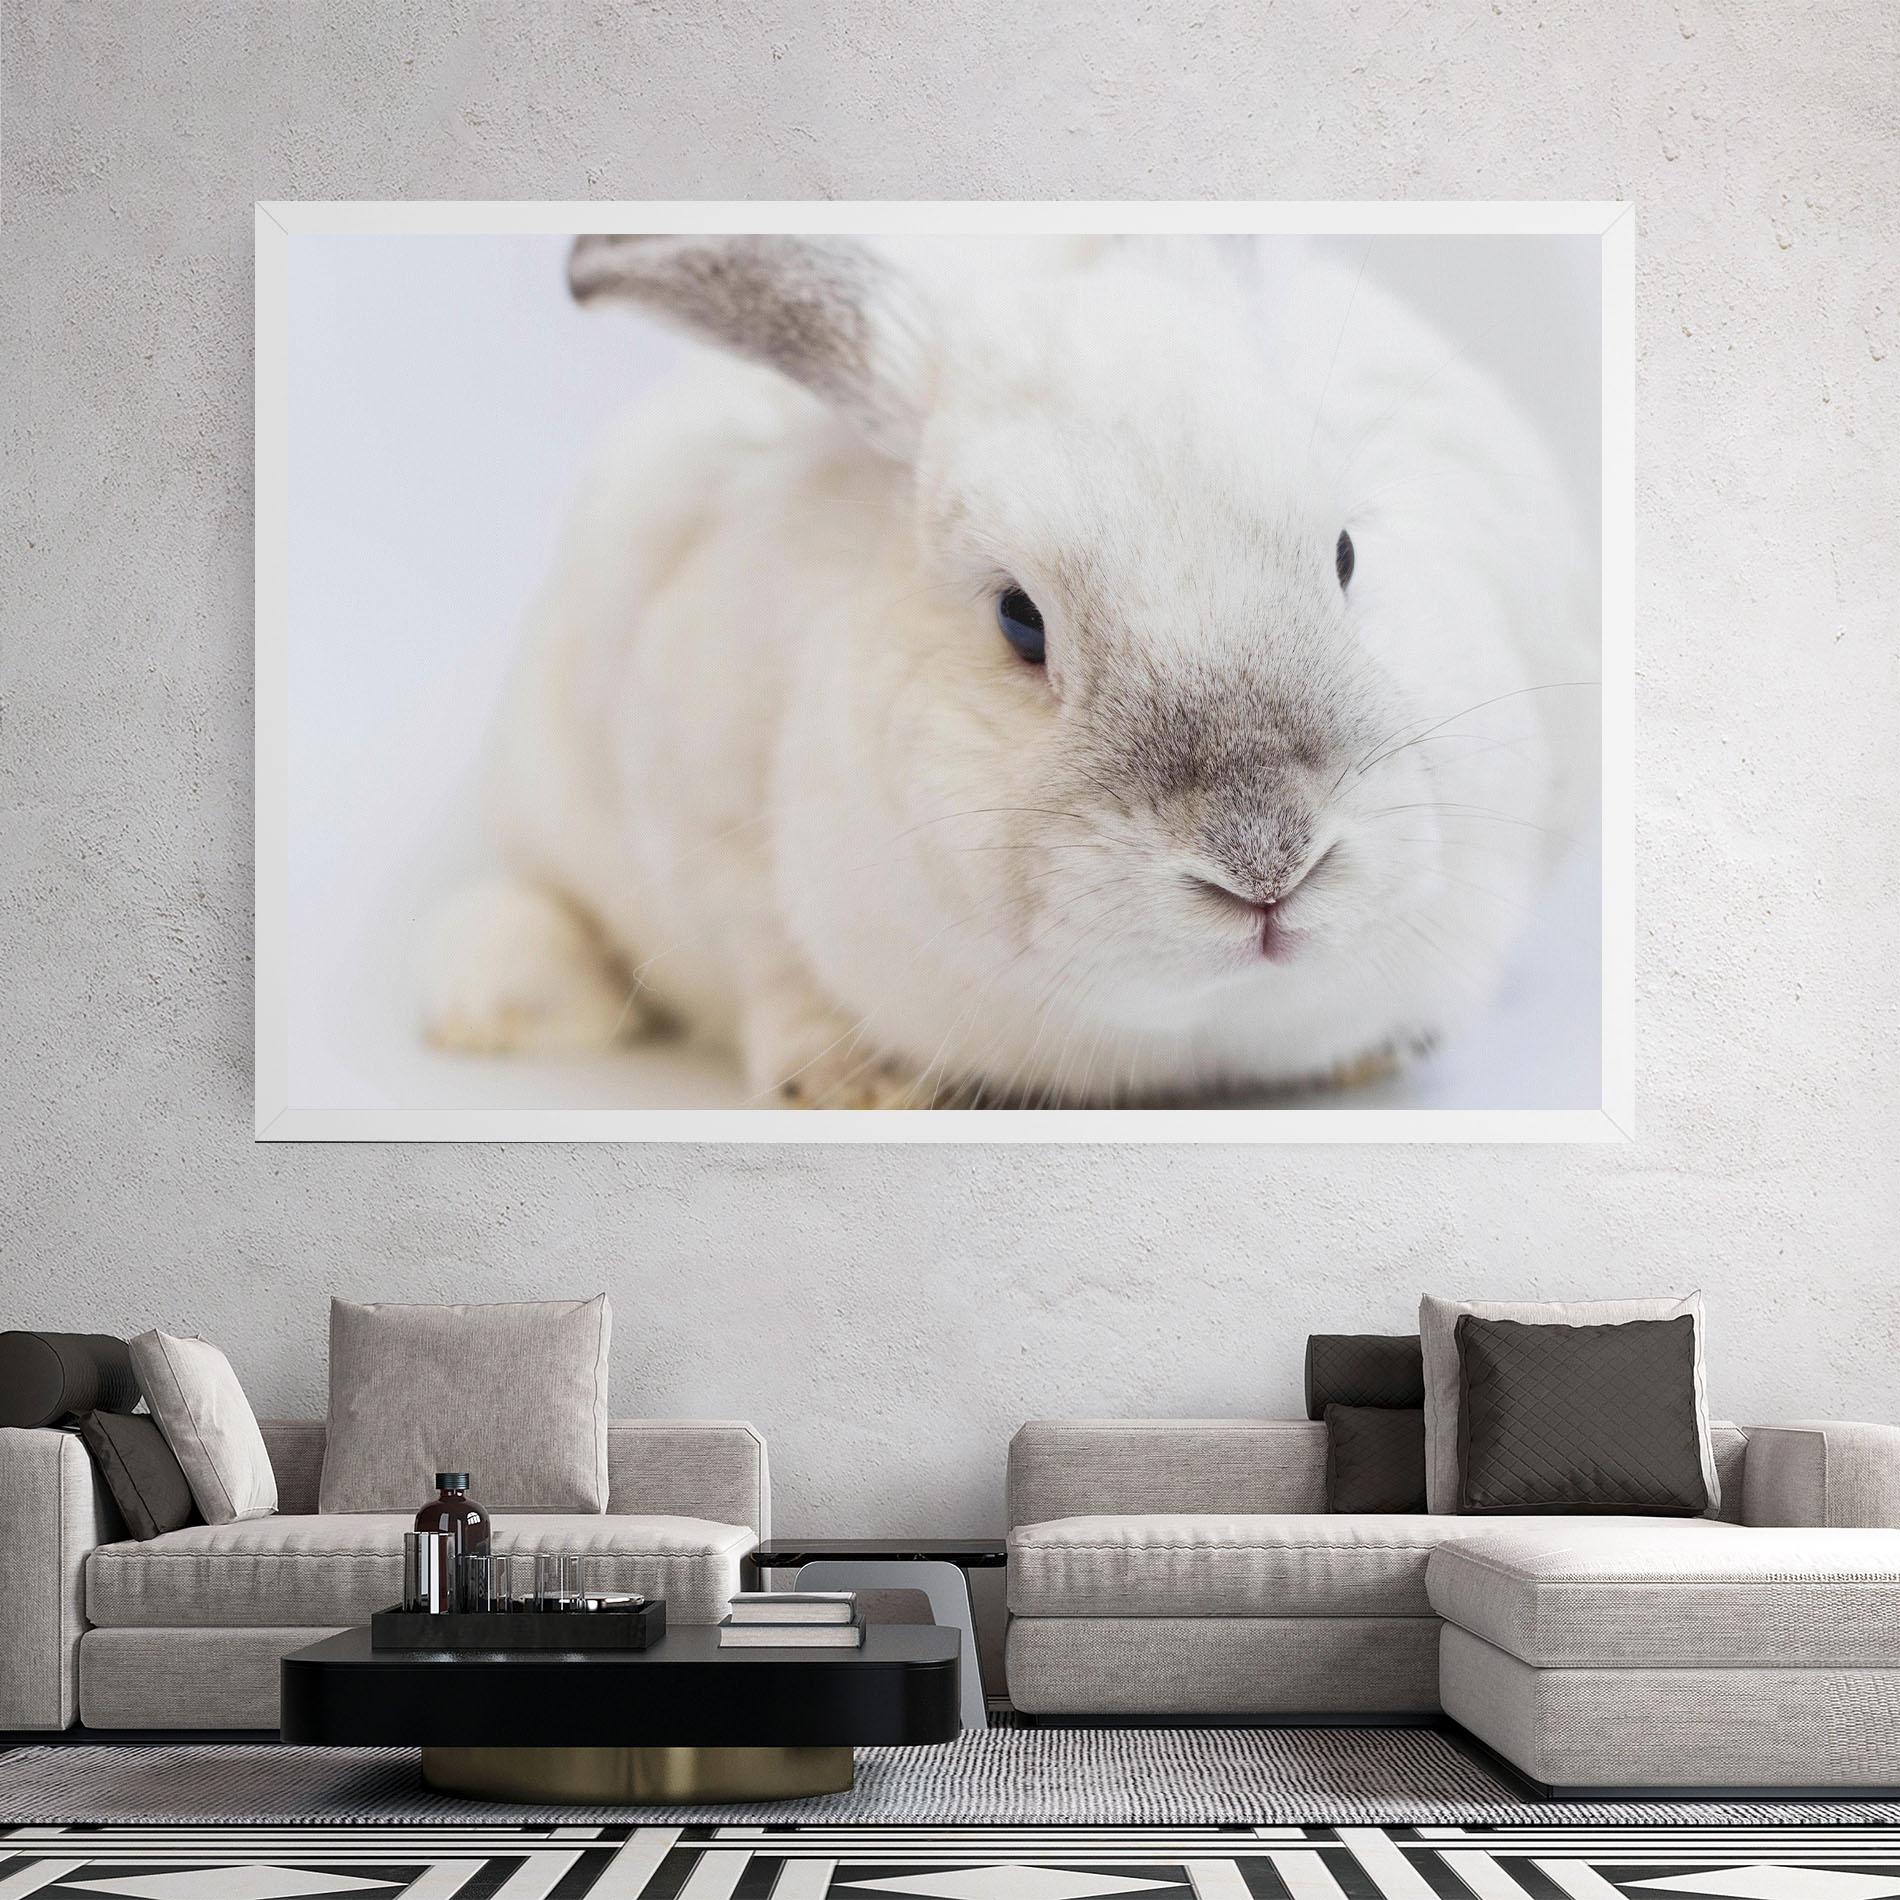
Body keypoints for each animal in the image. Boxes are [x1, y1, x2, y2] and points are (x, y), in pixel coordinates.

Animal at [417, 234, 1597, 1108]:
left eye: (1346, 553)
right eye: (1019, 620)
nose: (1266, 864)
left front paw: (1374, 1050)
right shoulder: (705, 829)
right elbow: (773, 968)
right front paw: (856, 1082)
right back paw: (493, 1007)